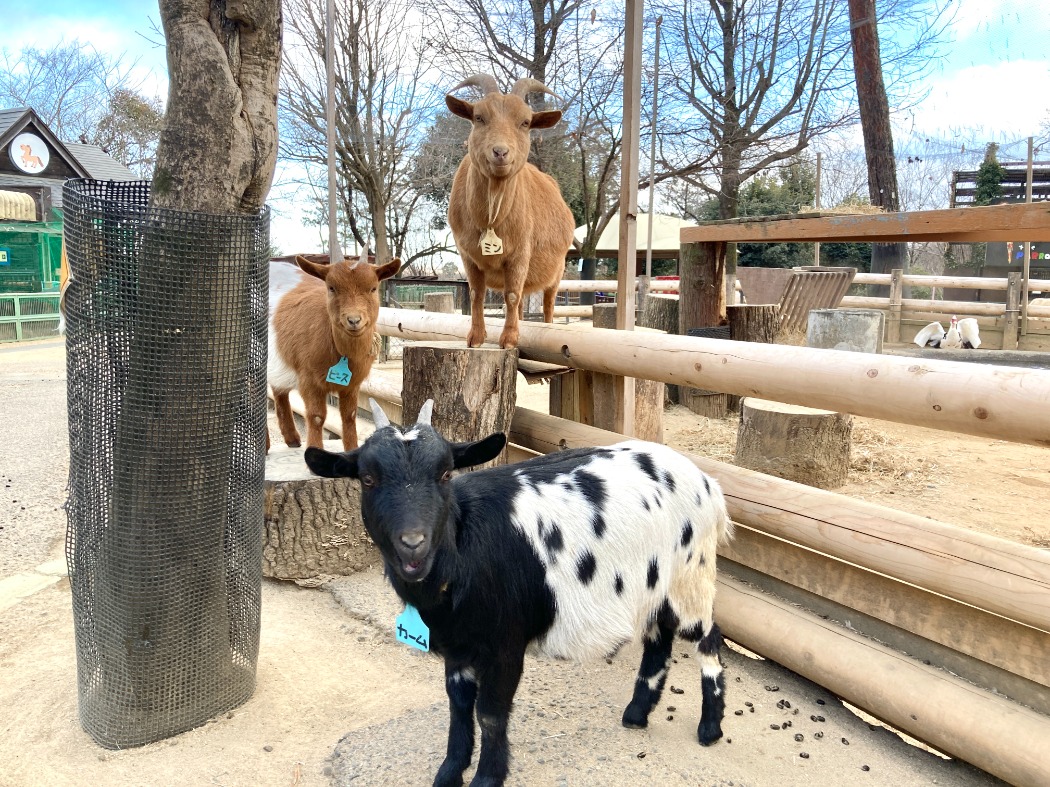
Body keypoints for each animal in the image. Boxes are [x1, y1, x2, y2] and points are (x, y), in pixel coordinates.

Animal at [304, 402, 730, 784]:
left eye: (445, 473)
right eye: (367, 478)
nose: (413, 544)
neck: (462, 552)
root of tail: (708, 484)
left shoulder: (505, 644)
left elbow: (490, 713)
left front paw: (487, 778)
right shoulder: (457, 645)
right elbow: (458, 706)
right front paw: (449, 772)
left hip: (692, 575)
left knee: (709, 637)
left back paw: (709, 729)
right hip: (655, 585)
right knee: (658, 639)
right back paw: (637, 714)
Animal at [445, 74, 575, 350]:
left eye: (525, 122)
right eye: (479, 117)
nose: (500, 152)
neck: (490, 219)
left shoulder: (520, 253)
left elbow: (512, 295)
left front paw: (509, 340)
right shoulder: (467, 255)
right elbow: (477, 293)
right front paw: (475, 337)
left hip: (557, 270)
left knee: (548, 303)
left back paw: (545, 326)